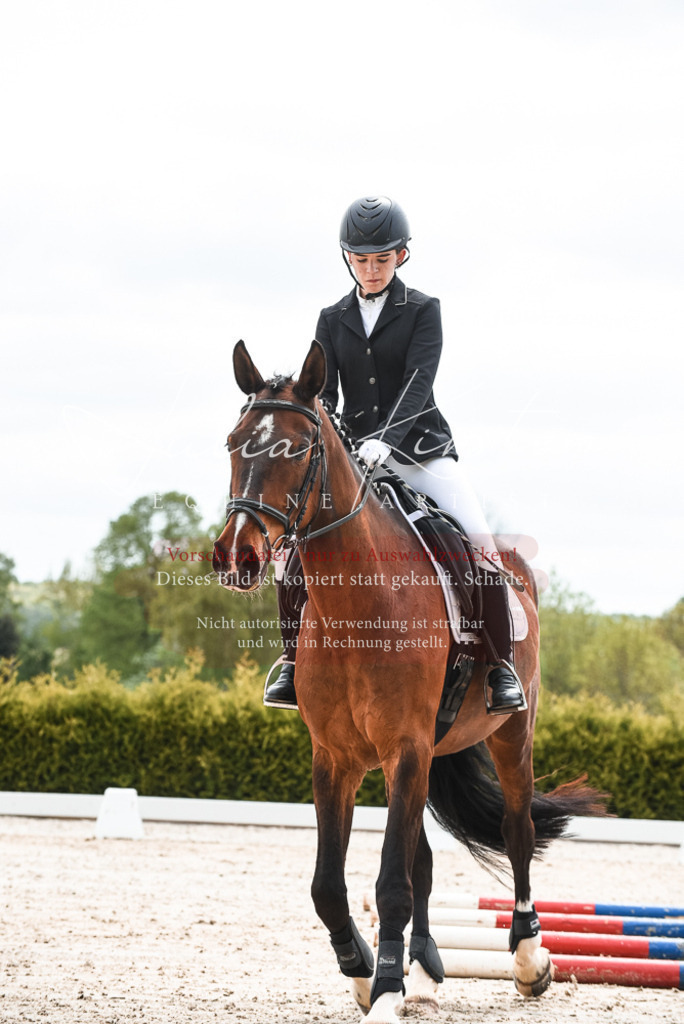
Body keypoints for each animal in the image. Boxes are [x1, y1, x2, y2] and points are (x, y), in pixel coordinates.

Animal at [213, 340, 602, 1024]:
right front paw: (365, 970)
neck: (359, 603)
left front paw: (386, 988)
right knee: (424, 856)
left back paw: (528, 960)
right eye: (234, 443)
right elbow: (329, 884)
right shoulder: (335, 757)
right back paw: (422, 967)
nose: (238, 556)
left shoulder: (406, 747)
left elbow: (390, 879)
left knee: (517, 831)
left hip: (509, 734)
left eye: (300, 449)